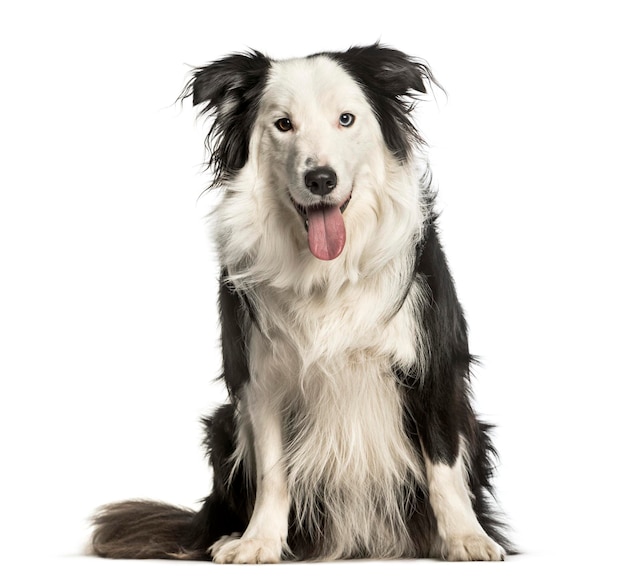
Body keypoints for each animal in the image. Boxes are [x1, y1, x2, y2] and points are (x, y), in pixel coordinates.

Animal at [92, 43, 512, 564]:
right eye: (283, 124)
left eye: (346, 119)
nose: (320, 179)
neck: (327, 273)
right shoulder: (259, 379)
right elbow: (274, 472)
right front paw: (259, 541)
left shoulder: (435, 365)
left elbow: (444, 464)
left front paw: (465, 537)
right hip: (223, 423)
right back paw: (226, 534)